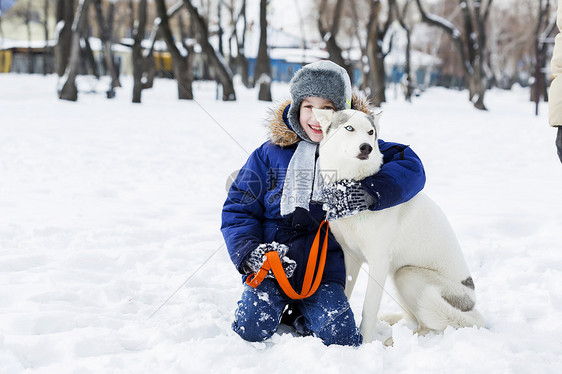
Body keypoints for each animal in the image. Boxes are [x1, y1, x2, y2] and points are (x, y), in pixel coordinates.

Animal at [312, 107, 484, 342]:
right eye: (349, 128)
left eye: (371, 132)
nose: (366, 147)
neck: (350, 186)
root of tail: (472, 308)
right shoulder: (351, 256)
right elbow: (346, 292)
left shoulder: (379, 261)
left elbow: (368, 309)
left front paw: (365, 342)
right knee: (414, 318)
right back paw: (392, 320)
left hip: (406, 275)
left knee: (428, 326)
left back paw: (392, 342)